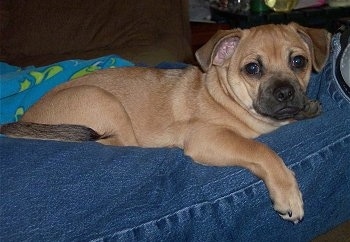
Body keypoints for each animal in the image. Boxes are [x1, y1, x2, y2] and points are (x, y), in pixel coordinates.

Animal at [0, 22, 330, 223]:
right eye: (252, 69)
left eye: (298, 62)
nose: (285, 92)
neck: (223, 95)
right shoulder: (208, 138)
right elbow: (262, 151)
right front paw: (288, 193)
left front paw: (308, 108)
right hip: (103, 101)